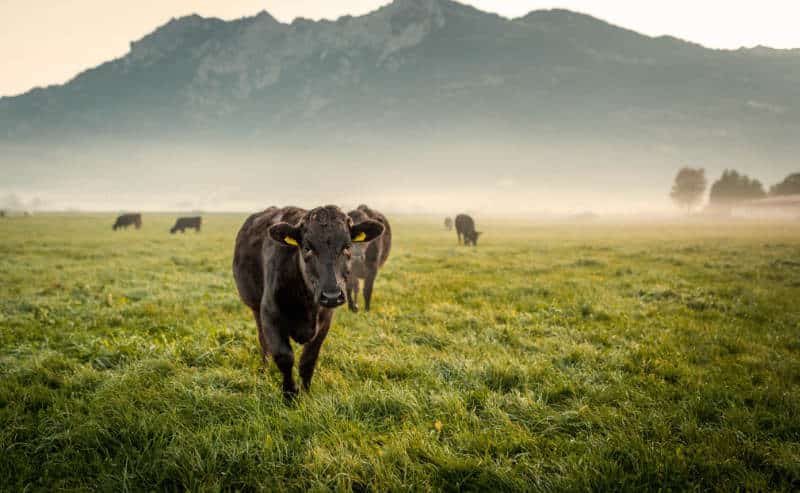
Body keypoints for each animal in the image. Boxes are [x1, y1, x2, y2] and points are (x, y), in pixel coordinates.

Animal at [231, 206, 384, 398]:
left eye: (347, 246)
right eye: (307, 248)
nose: (332, 295)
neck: (306, 303)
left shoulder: (325, 321)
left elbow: (308, 359)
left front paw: (306, 392)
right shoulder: (270, 316)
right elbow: (284, 357)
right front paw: (290, 395)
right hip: (255, 307)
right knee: (262, 340)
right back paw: (265, 369)